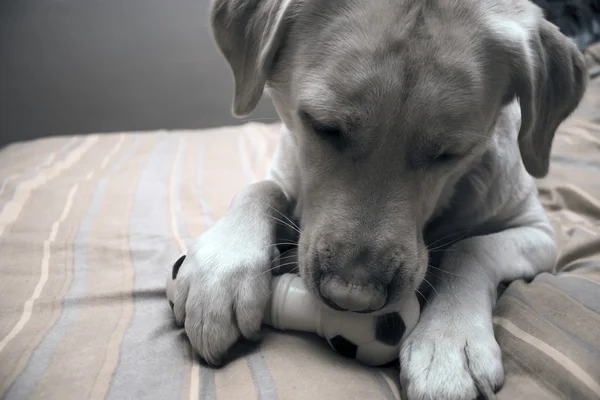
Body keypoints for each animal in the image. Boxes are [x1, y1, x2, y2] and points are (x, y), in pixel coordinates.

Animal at [172, 0, 584, 398]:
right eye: (324, 127)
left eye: (449, 154)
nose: (352, 298)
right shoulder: (285, 166)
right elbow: (261, 188)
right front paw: (221, 271)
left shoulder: (540, 232)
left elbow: (470, 248)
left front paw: (449, 341)